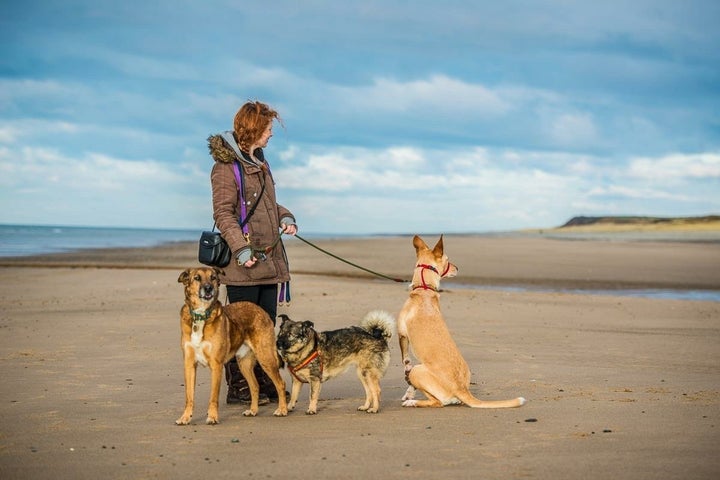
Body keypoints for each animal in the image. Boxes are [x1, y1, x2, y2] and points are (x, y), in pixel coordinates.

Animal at [176, 264, 288, 426]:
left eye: (213, 277)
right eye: (197, 278)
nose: (208, 288)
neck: (201, 315)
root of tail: (260, 310)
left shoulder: (216, 365)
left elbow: (213, 397)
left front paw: (212, 417)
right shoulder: (189, 365)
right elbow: (189, 397)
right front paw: (185, 417)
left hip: (265, 357)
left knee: (280, 383)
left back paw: (283, 409)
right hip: (244, 363)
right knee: (255, 386)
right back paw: (253, 410)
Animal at [396, 236, 524, 408]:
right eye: (447, 260)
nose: (457, 268)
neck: (425, 289)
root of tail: (462, 389)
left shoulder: (402, 336)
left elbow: (406, 362)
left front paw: (409, 393)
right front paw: (409, 392)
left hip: (418, 371)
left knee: (437, 402)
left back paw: (413, 402)